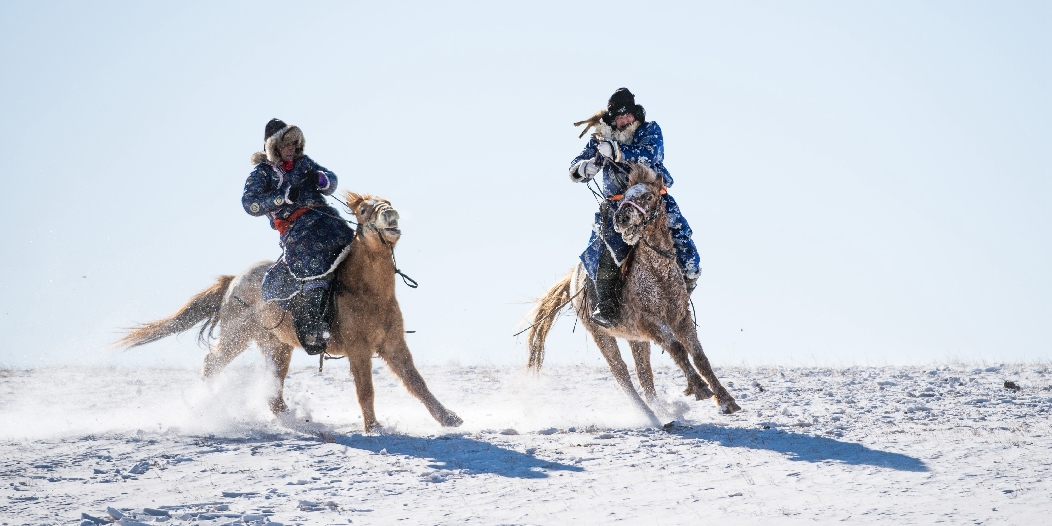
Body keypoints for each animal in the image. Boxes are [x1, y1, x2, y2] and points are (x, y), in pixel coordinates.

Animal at [117, 191, 462, 429]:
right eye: (364, 210)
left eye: (386, 200)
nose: (390, 214)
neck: (367, 292)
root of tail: (234, 281)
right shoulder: (359, 349)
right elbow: (366, 389)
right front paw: (374, 428)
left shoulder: (393, 345)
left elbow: (416, 383)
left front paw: (449, 418)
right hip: (236, 337)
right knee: (212, 363)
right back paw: (204, 407)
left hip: (277, 347)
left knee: (272, 388)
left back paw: (295, 419)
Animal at [526, 166, 740, 425]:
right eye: (625, 195)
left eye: (648, 196)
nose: (620, 218)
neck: (658, 271)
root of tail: (575, 277)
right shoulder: (650, 321)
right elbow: (677, 348)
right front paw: (699, 388)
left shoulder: (680, 318)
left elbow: (700, 356)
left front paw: (726, 400)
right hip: (602, 335)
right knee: (622, 374)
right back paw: (650, 416)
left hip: (635, 339)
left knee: (643, 374)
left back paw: (663, 412)